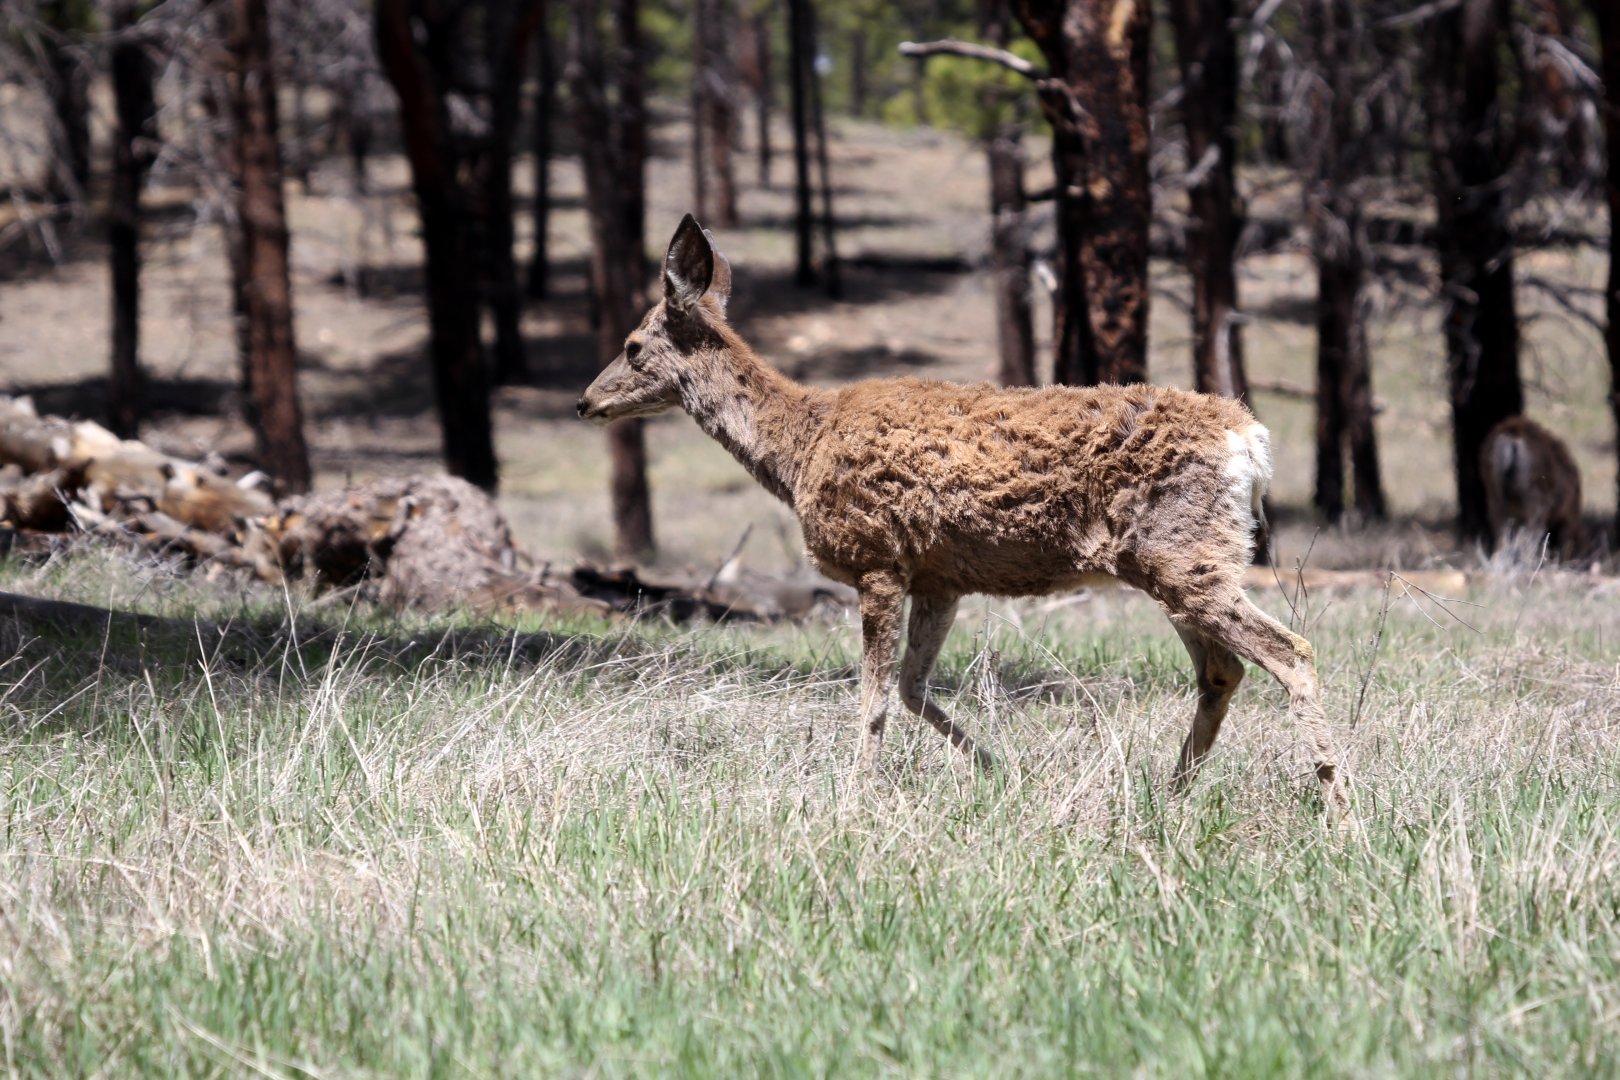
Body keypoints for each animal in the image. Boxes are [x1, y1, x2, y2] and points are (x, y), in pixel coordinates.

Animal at [578, 216, 1348, 813]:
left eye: (632, 346)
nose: (585, 402)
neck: (800, 448)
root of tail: (1250, 438)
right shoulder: (940, 576)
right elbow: (914, 688)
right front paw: (1000, 772)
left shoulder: (877, 560)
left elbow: (874, 696)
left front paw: (856, 797)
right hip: (1179, 562)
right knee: (1223, 670)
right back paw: (1173, 792)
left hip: (1184, 551)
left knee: (1291, 651)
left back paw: (1338, 805)